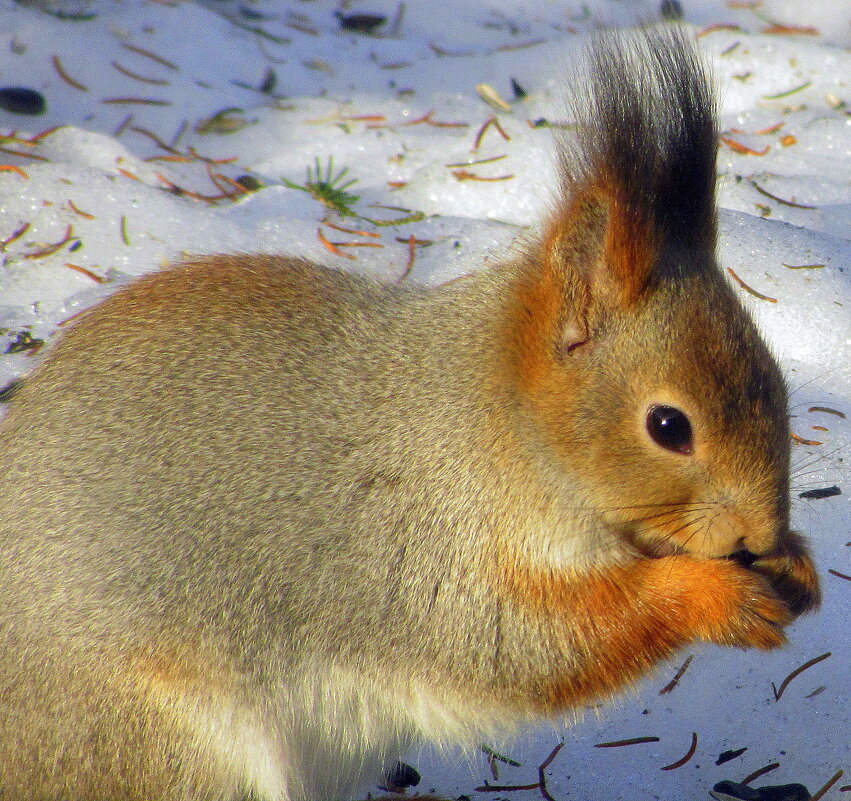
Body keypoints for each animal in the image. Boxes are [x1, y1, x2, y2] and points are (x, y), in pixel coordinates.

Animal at [0, 25, 824, 800]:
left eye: (778, 380)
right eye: (668, 426)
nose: (758, 531)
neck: (496, 424)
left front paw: (799, 566)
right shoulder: (416, 550)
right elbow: (518, 643)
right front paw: (710, 596)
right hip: (166, 742)